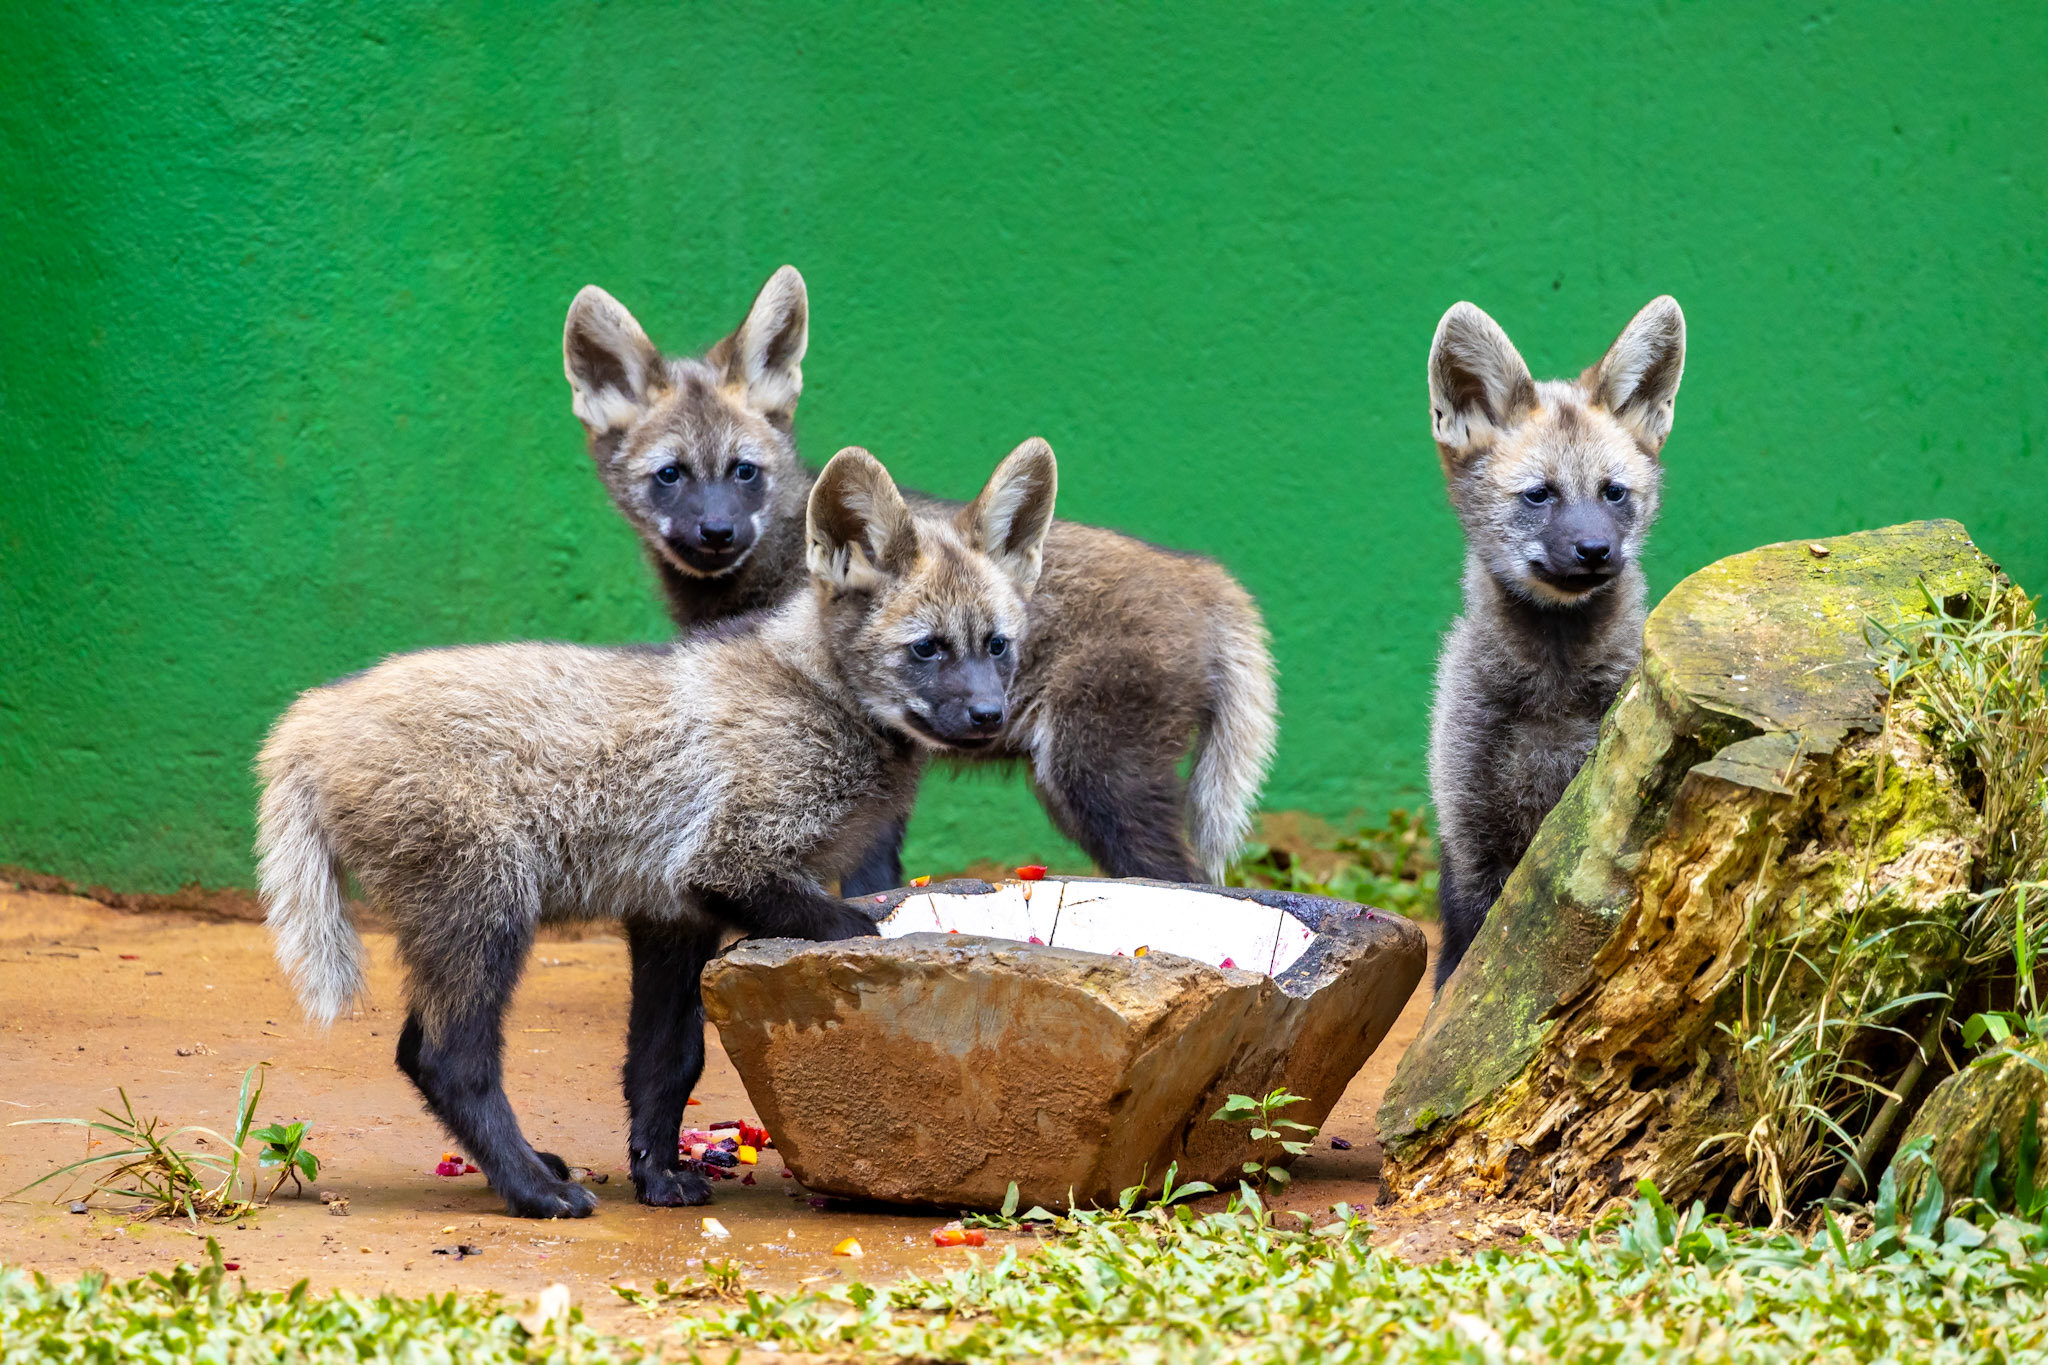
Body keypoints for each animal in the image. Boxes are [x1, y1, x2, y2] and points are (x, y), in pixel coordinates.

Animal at [256, 442, 1056, 1218]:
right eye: (928, 648)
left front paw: (659, 1177)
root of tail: (309, 715)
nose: (989, 716)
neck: (819, 695)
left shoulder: (673, 914)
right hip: (489, 910)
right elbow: (852, 927)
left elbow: (667, 1065)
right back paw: (533, 1191)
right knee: (445, 1058)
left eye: (997, 646)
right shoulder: (727, 866)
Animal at [1425, 296, 1686, 987]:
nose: (1595, 551)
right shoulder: (1471, 841)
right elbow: (1458, 979)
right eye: (1539, 495)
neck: (1555, 691)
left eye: (1613, 492)